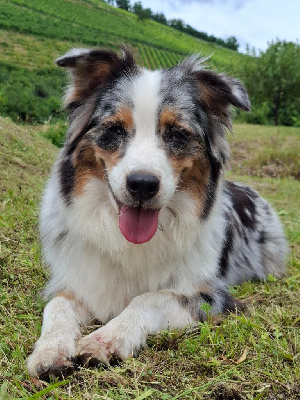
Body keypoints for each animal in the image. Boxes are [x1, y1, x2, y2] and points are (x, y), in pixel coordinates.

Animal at [27, 47, 288, 378]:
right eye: (114, 129)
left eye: (176, 134)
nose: (142, 185)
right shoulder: (76, 282)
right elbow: (56, 307)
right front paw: (51, 349)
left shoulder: (212, 296)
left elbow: (150, 298)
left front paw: (107, 338)